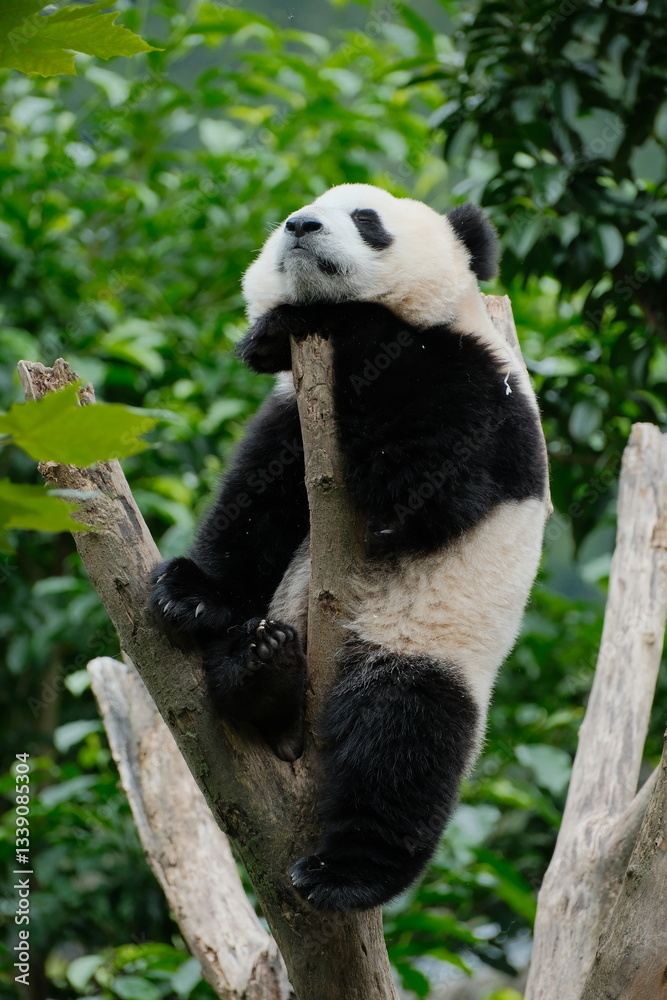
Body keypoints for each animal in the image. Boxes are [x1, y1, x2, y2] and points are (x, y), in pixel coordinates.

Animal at [150, 183, 549, 912]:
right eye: (300, 208)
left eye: (368, 220)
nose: (300, 226)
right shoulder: (288, 419)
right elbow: (255, 506)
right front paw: (190, 595)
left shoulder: (480, 390)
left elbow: (424, 491)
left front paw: (313, 324)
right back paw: (259, 671)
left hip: (424, 637)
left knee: (400, 737)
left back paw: (346, 872)